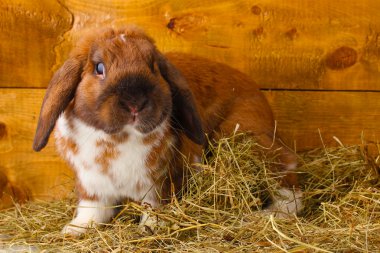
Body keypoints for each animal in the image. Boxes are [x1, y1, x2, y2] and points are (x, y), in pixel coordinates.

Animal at [32, 25, 302, 235]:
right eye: (99, 68)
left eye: (153, 66)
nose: (135, 102)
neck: (118, 140)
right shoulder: (92, 188)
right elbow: (92, 212)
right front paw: (73, 229)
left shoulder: (157, 185)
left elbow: (153, 208)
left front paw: (150, 227)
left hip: (249, 139)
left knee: (288, 170)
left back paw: (275, 212)